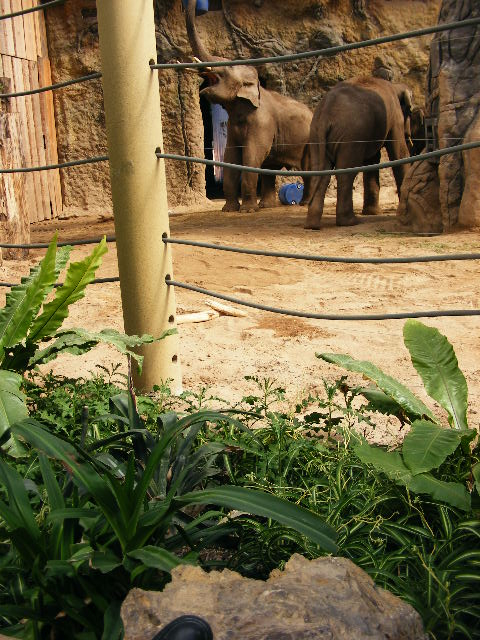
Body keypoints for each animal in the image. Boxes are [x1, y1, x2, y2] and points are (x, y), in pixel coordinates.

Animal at [185, 0, 313, 212]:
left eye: (228, 66)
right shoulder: (232, 126)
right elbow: (230, 157)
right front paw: (229, 210)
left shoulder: (262, 123)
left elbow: (251, 157)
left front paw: (246, 210)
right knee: (271, 169)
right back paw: (267, 206)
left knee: (310, 168)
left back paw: (304, 204)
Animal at [305, 76, 413, 229]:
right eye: (410, 111)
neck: (394, 85)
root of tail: (326, 113)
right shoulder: (394, 116)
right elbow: (399, 154)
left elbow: (373, 161)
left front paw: (372, 213)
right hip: (351, 136)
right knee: (346, 172)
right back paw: (350, 221)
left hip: (315, 135)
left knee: (320, 172)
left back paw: (312, 225)